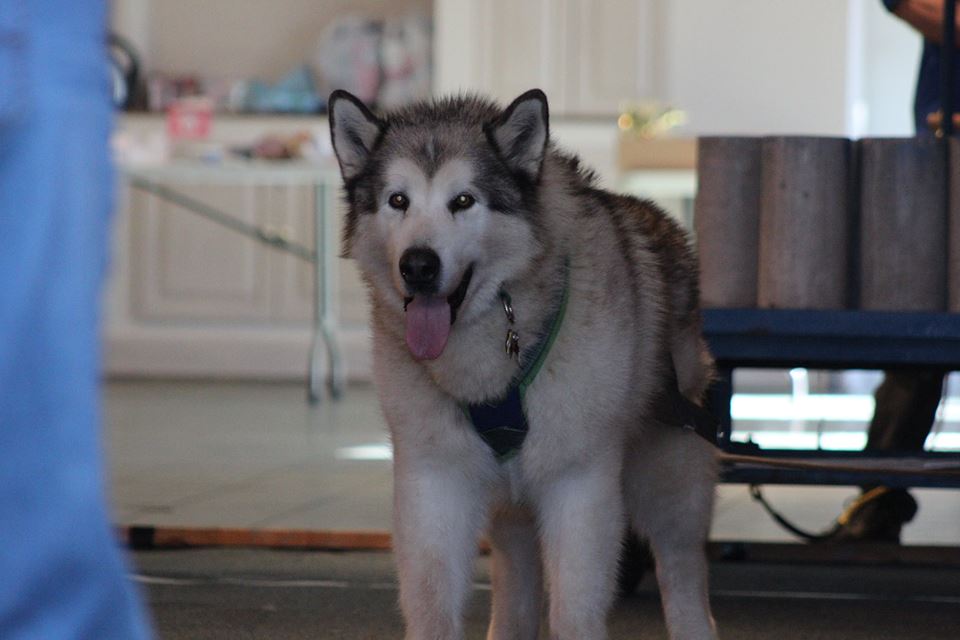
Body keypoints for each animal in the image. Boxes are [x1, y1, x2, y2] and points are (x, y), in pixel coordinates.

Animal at [332, 86, 720, 640]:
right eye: (398, 200)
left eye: (463, 200)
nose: (418, 265)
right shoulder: (433, 480)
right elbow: (431, 601)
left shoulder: (579, 483)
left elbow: (575, 611)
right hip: (510, 506)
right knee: (517, 580)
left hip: (669, 479)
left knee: (682, 568)